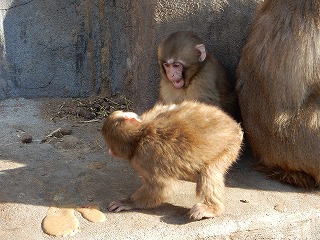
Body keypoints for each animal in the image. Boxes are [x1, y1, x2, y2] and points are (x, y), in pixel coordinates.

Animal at [102, 100, 242, 220]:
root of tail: (236, 129)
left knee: (209, 172)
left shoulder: (144, 157)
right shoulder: (155, 113)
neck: (142, 132)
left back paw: (213, 208)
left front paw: (128, 202)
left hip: (229, 147)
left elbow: (162, 188)